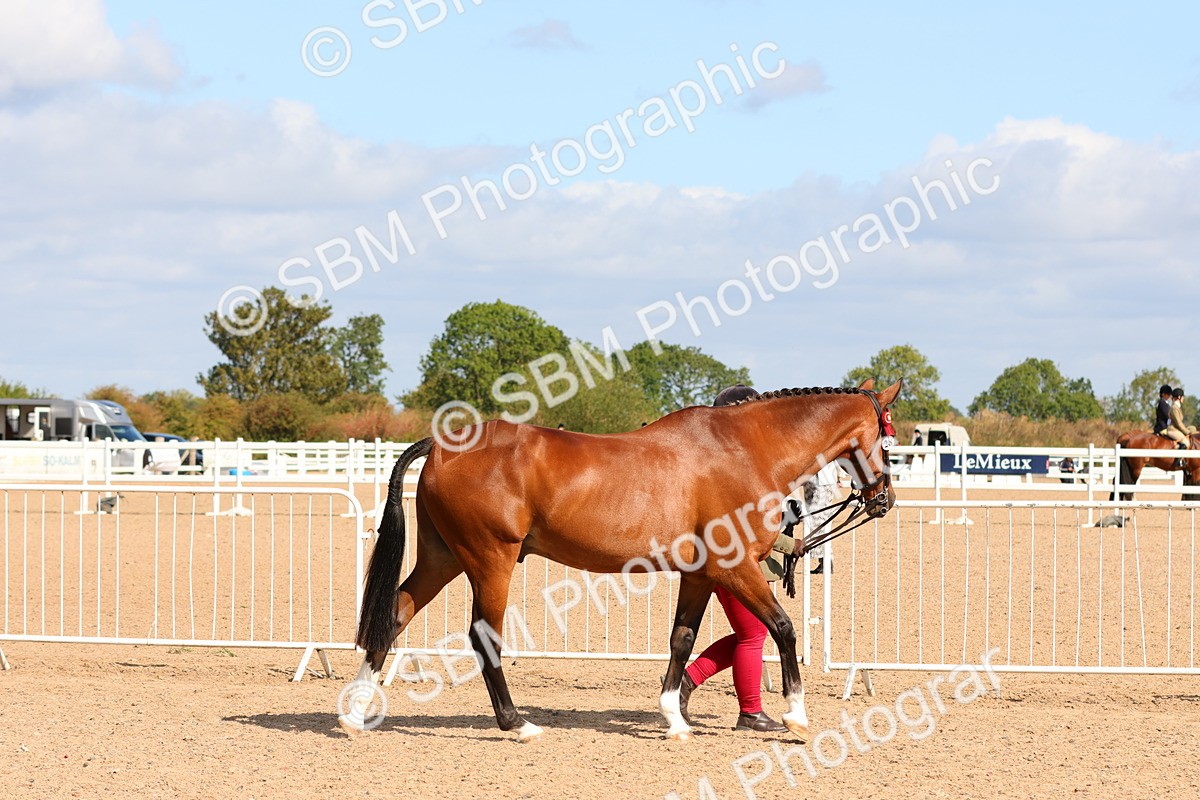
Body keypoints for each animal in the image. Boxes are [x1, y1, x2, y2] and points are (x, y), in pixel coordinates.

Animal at [339, 379, 903, 742]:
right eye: (889, 439)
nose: (885, 500)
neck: (744, 449)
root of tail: (442, 444)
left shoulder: (701, 574)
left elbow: (682, 639)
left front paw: (674, 718)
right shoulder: (735, 568)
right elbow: (784, 629)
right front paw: (797, 716)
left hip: (443, 557)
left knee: (395, 611)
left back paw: (356, 713)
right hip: (489, 560)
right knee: (484, 635)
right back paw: (515, 723)